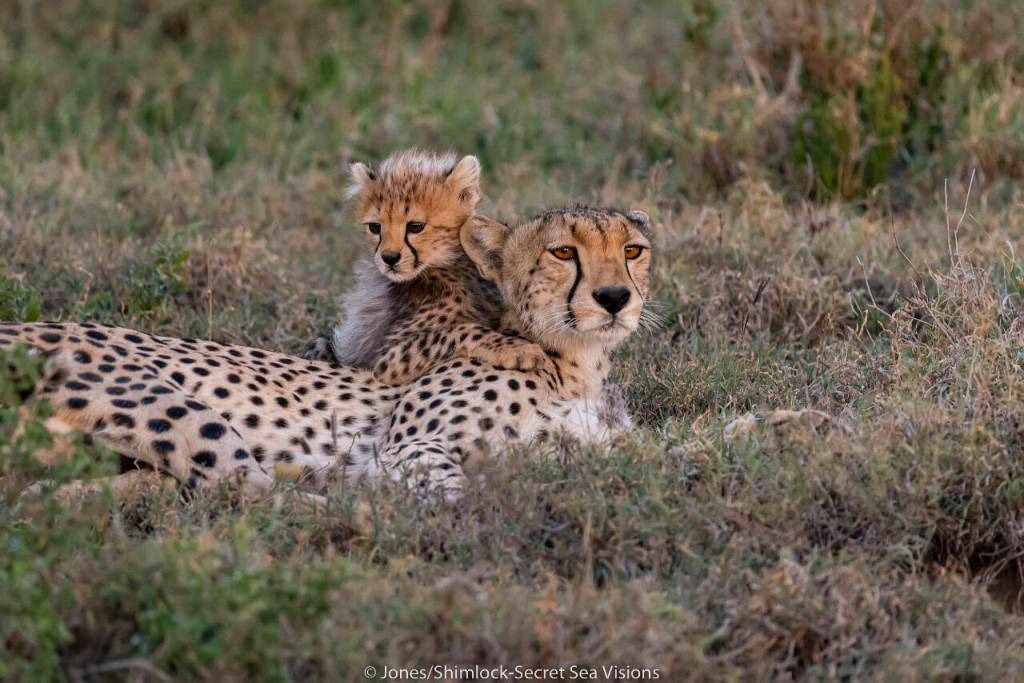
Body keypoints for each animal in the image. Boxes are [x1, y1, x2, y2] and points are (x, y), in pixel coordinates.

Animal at [0, 204, 652, 501]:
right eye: (563, 252)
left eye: (633, 250)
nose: (614, 297)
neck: (576, 362)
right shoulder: (407, 447)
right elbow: (449, 492)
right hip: (163, 401)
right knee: (250, 492)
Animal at [303, 149, 549, 384]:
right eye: (375, 227)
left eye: (415, 226)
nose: (389, 258)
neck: (446, 268)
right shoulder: (385, 360)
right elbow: (459, 330)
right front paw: (519, 349)